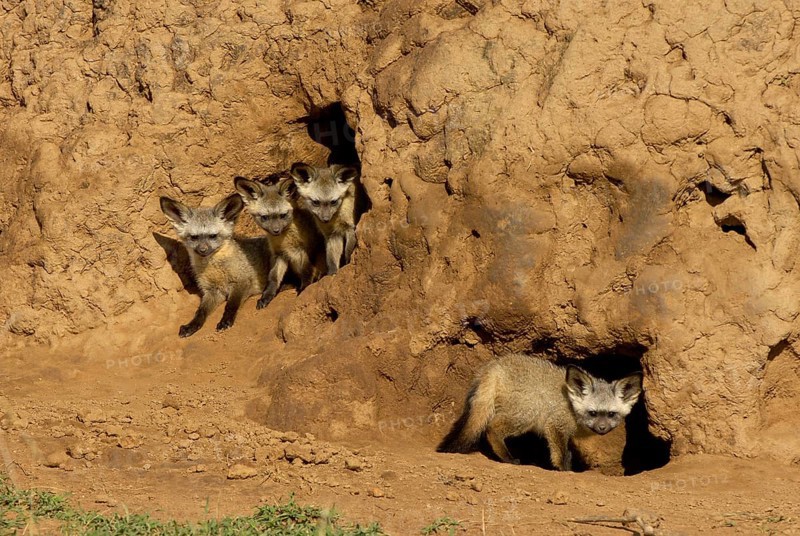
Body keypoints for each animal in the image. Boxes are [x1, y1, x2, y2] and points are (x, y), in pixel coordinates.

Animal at [159, 194, 269, 337]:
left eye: (213, 236)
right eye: (194, 237)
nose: (203, 250)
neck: (216, 271)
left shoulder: (242, 282)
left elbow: (231, 306)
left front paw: (225, 321)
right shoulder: (212, 291)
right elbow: (200, 311)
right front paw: (192, 325)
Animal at [233, 174, 323, 308]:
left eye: (283, 215)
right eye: (264, 217)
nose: (276, 231)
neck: (286, 242)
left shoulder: (305, 251)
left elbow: (307, 272)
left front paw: (304, 289)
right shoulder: (279, 255)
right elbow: (273, 277)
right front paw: (266, 296)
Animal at [437, 354, 643, 471]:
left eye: (611, 414)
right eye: (592, 413)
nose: (602, 428)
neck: (571, 406)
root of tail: (495, 366)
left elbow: (568, 454)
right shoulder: (555, 426)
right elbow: (560, 455)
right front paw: (563, 470)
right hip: (527, 414)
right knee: (492, 428)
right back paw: (508, 458)